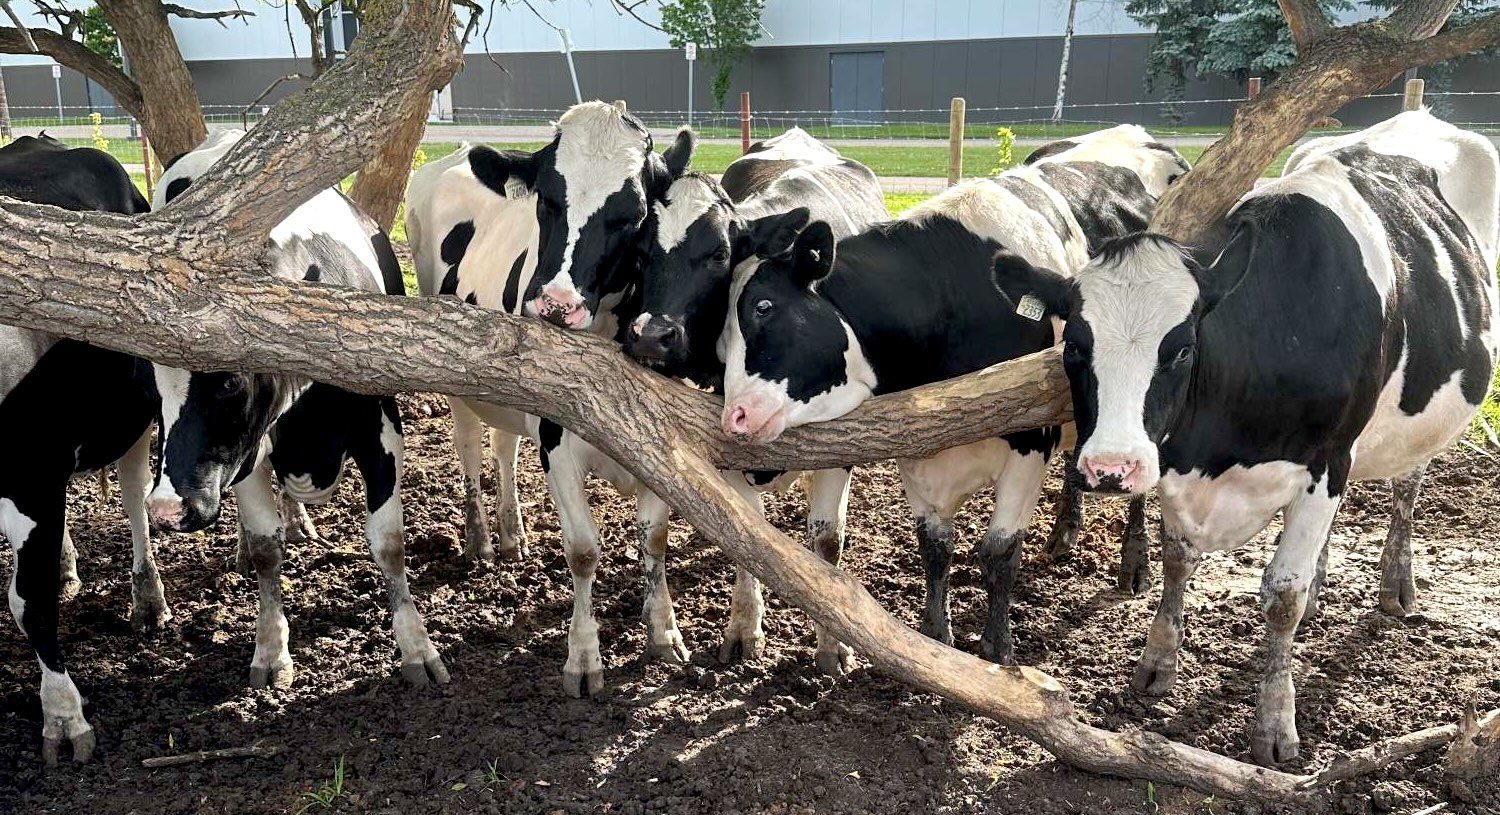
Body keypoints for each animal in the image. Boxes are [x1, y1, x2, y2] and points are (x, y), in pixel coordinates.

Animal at [144, 129, 446, 692]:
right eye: (154, 391)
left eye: (229, 382)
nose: (167, 508)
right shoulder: (246, 456)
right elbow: (267, 551)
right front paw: (270, 650)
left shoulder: (383, 432)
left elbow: (389, 543)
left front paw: (417, 647)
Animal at [405, 102, 695, 696]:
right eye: (547, 199)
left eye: (634, 215)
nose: (557, 305)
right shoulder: (557, 442)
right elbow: (583, 549)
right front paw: (583, 656)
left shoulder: (661, 450)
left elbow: (655, 541)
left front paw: (663, 633)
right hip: (455, 375)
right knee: (469, 447)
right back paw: (480, 538)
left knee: (503, 447)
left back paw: (512, 532)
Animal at [624, 128, 887, 674]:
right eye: (640, 250)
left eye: (719, 255)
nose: (651, 335)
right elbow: (747, 536)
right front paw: (744, 627)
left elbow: (827, 538)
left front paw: (832, 644)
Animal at [719, 126, 1191, 666]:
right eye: (719, 333)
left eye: (764, 307)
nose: (734, 418)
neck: (950, 299)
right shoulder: (916, 452)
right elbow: (935, 546)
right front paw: (934, 635)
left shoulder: (1030, 446)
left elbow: (998, 552)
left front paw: (996, 647)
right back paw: (1065, 532)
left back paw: (1134, 563)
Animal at [988, 111, 1498, 764]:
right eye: (1074, 345)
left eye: (1182, 348)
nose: (1111, 467)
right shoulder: (1178, 463)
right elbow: (1178, 559)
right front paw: (1157, 664)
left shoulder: (1327, 460)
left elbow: (1281, 596)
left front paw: (1275, 724)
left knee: (1406, 489)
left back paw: (1396, 584)